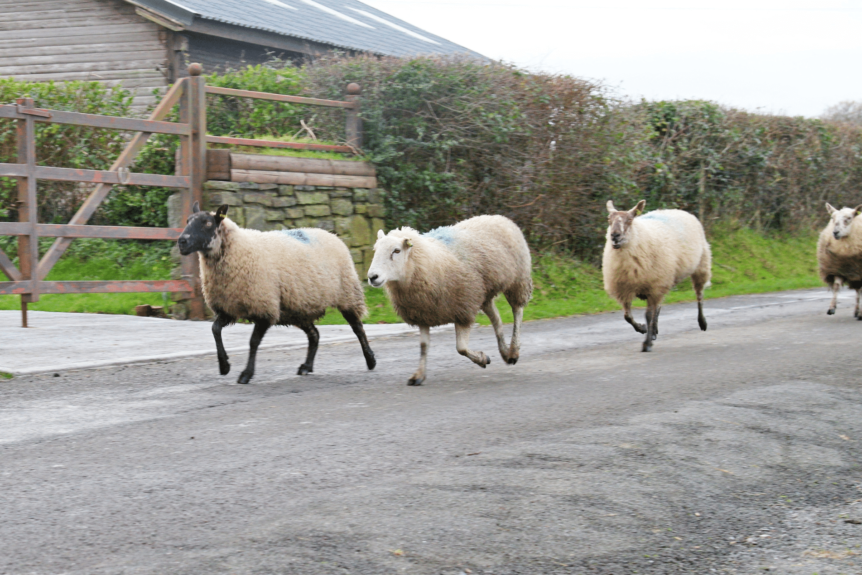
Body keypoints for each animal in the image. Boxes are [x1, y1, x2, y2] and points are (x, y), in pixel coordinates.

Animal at [177, 202, 376, 384]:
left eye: (207, 223)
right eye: (187, 221)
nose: (181, 242)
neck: (237, 249)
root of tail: (330, 234)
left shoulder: (264, 306)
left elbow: (253, 342)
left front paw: (246, 374)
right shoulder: (228, 308)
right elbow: (215, 329)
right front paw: (224, 366)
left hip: (347, 293)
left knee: (357, 328)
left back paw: (371, 360)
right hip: (298, 307)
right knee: (315, 334)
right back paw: (306, 366)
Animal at [367, 215, 532, 386]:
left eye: (396, 251)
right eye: (375, 250)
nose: (372, 277)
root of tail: (498, 217)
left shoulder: (463, 308)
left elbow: (461, 348)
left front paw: (482, 359)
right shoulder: (422, 313)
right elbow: (423, 346)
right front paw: (419, 375)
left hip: (518, 278)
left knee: (517, 310)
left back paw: (513, 351)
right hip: (483, 292)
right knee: (497, 319)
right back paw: (505, 353)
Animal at [602, 200, 711, 352]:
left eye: (630, 220)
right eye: (609, 220)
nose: (614, 235)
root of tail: (679, 210)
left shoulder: (653, 286)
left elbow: (648, 315)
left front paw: (646, 343)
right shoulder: (625, 288)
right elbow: (627, 316)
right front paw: (642, 329)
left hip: (701, 264)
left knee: (699, 295)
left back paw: (702, 322)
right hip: (664, 279)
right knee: (658, 307)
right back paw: (653, 330)